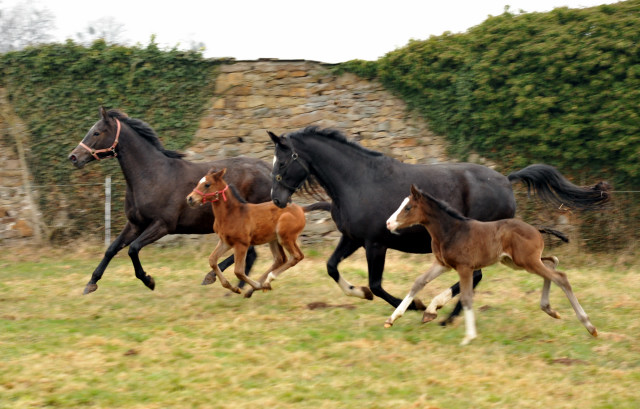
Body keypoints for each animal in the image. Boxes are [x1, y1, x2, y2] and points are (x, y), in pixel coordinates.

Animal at [68, 107, 272, 294]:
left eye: (96, 132)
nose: (74, 157)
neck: (152, 176)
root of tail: (269, 169)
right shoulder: (135, 224)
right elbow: (111, 249)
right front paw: (91, 283)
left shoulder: (163, 225)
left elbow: (133, 249)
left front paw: (149, 281)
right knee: (250, 254)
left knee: (250, 253)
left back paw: (221, 280)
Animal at [268, 126, 608, 320]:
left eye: (282, 161)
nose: (277, 199)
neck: (358, 180)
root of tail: (505, 179)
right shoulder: (352, 238)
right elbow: (332, 267)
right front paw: (358, 292)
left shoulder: (375, 243)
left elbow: (377, 284)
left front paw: (414, 305)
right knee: (475, 278)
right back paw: (447, 312)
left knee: (476, 276)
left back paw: (440, 309)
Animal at [382, 185, 596, 344]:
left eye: (408, 208)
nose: (388, 224)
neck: (451, 230)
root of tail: (536, 229)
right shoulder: (443, 264)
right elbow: (419, 282)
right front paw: (393, 319)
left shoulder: (464, 267)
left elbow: (467, 297)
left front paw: (469, 337)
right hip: (517, 262)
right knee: (552, 263)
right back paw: (550, 309)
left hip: (526, 261)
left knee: (561, 277)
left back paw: (589, 326)